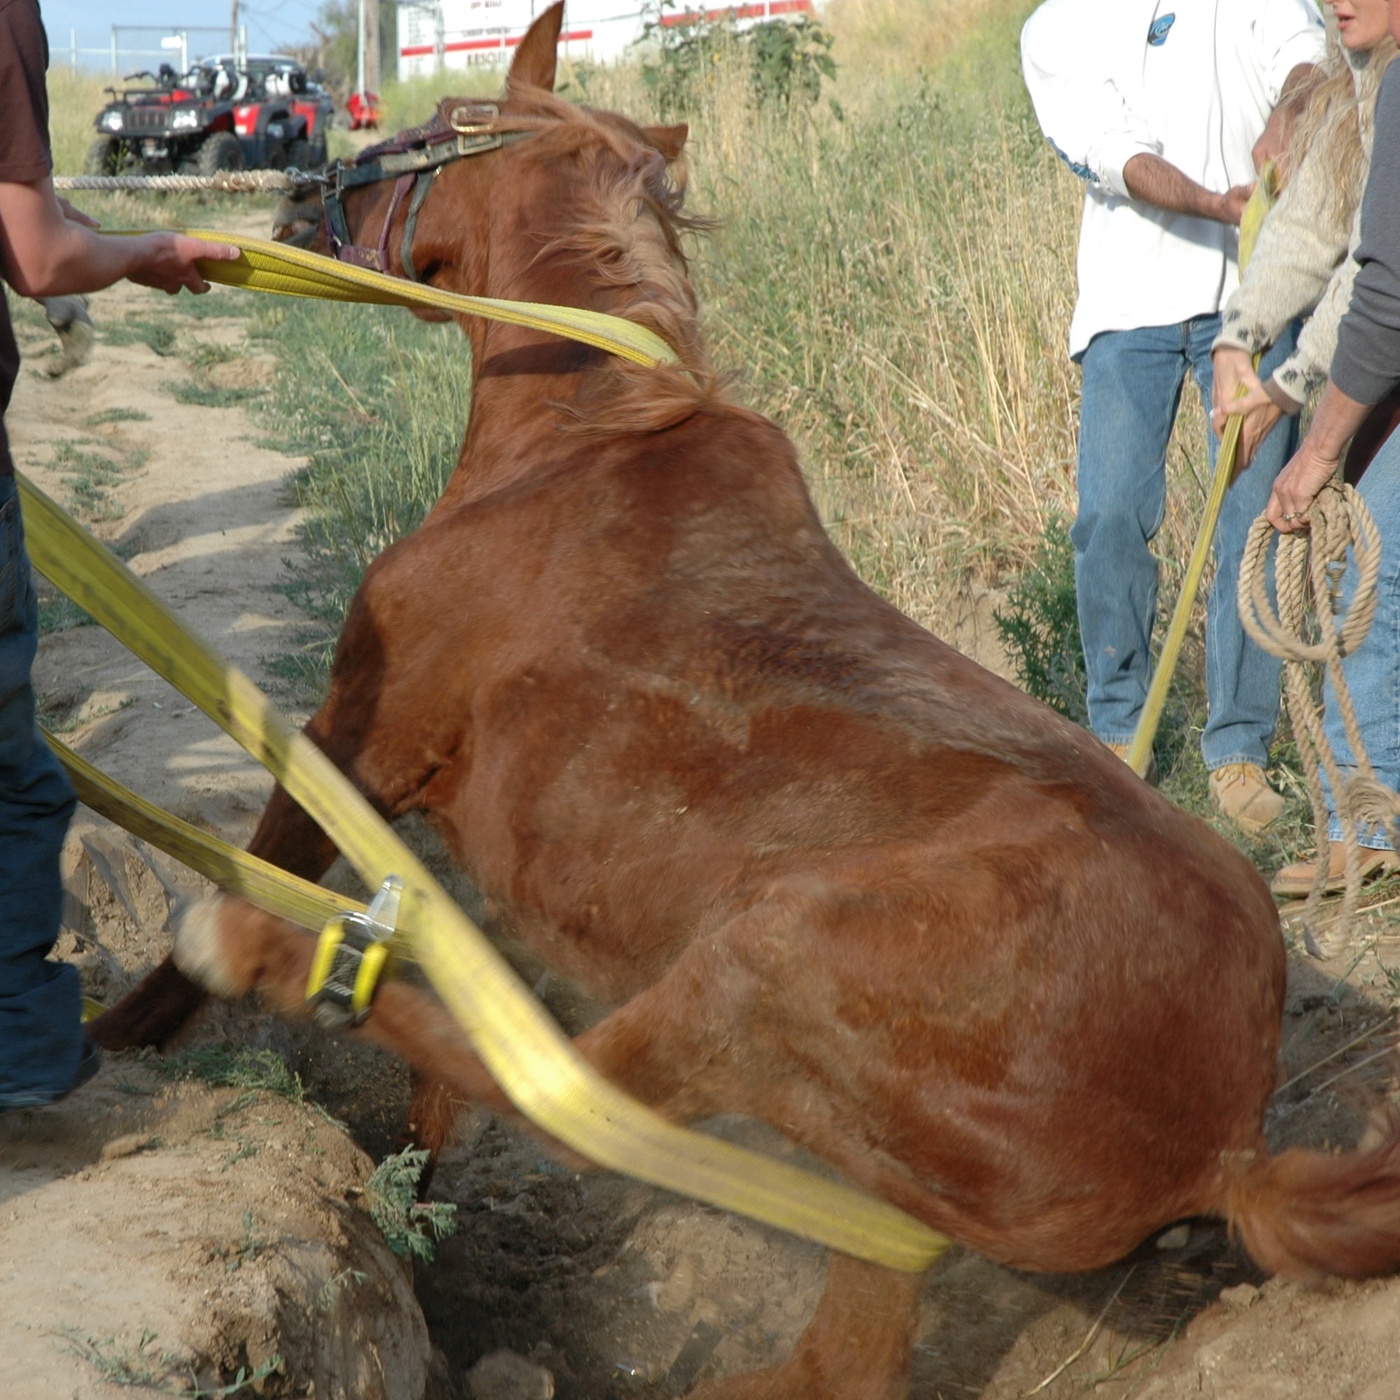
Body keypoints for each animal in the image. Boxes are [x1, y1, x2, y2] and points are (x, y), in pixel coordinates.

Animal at [93, 5, 1400, 1394]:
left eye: (433, 130)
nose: (296, 199)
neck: (582, 436)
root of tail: (1225, 1142)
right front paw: (411, 1192)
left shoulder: (360, 736)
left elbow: (267, 864)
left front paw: (129, 1025)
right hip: (877, 1192)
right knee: (834, 1349)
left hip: (757, 959)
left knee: (563, 1096)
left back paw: (279, 956)